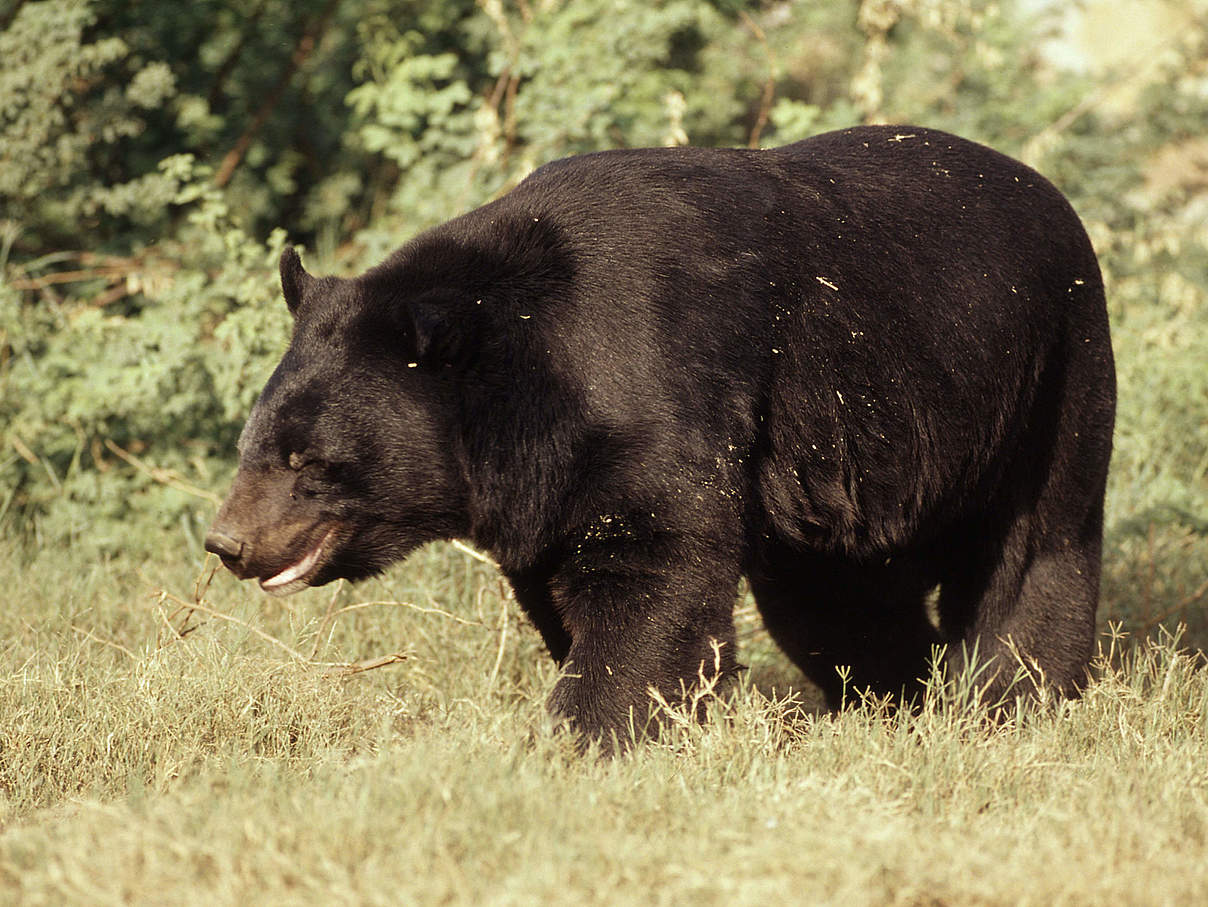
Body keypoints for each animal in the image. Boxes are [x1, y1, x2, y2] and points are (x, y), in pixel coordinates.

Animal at [205, 126, 1111, 743]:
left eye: (309, 460)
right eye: (254, 444)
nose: (226, 543)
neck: (538, 371)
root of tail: (1056, 196)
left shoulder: (656, 387)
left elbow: (653, 561)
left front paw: (590, 727)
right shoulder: (549, 481)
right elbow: (566, 576)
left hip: (1040, 380)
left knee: (1035, 551)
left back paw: (1011, 696)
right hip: (848, 462)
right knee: (836, 598)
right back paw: (896, 699)